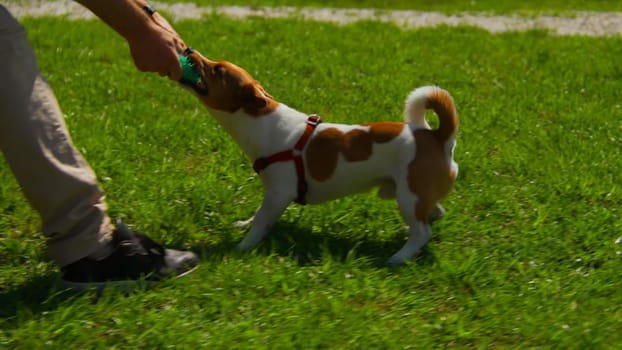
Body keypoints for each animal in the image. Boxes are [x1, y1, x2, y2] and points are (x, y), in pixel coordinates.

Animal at [183, 50, 460, 266]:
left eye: (217, 69)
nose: (188, 50)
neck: (261, 121)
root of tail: (438, 137)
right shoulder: (273, 194)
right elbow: (258, 215)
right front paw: (244, 224)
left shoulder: (278, 193)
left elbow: (262, 219)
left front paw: (243, 246)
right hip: (413, 193)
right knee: (435, 213)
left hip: (409, 194)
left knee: (423, 231)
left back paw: (399, 256)